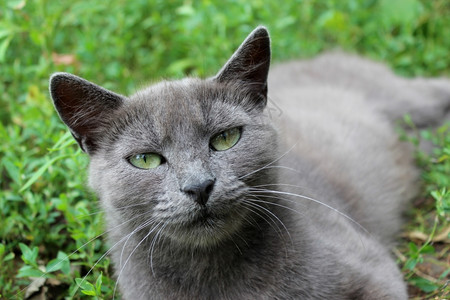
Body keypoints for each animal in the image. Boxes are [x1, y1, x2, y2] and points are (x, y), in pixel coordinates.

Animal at [49, 27, 450, 298]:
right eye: (145, 159)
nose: (199, 186)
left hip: (409, 98)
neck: (211, 273)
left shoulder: (373, 270)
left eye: (225, 138)